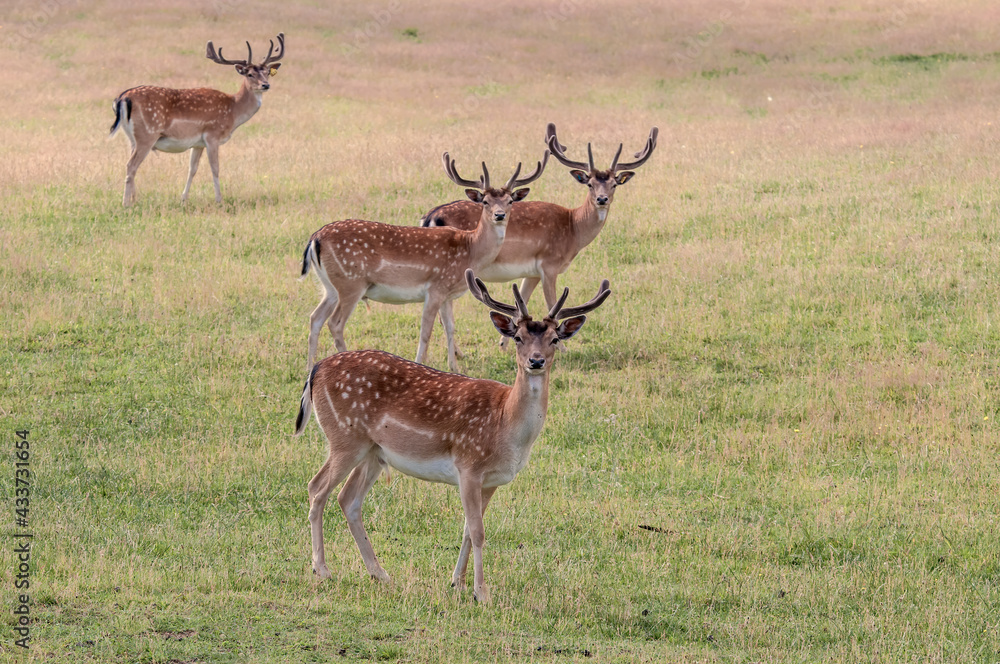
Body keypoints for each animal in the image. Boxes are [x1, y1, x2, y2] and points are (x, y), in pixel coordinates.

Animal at [108, 33, 285, 206]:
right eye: (250, 74)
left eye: (267, 72)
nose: (265, 85)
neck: (233, 111)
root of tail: (123, 97)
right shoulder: (212, 135)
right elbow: (215, 168)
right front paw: (219, 200)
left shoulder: (198, 143)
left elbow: (192, 169)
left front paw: (183, 199)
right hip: (147, 134)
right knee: (131, 165)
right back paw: (126, 204)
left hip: (132, 138)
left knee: (132, 164)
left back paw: (134, 200)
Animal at [294, 268, 612, 603]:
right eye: (518, 338)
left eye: (554, 339)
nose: (535, 360)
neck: (505, 426)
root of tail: (316, 370)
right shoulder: (469, 465)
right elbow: (478, 531)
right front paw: (481, 593)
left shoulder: (491, 481)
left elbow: (468, 529)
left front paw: (457, 582)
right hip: (345, 437)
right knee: (317, 487)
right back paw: (322, 568)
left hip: (374, 453)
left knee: (348, 499)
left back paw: (379, 573)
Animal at [300, 153, 548, 374]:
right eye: (485, 201)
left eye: (510, 201)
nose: (499, 215)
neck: (470, 250)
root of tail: (314, 239)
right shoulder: (436, 287)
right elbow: (426, 331)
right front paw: (421, 364)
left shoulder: (448, 293)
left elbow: (450, 327)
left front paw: (455, 367)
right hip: (351, 284)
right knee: (335, 323)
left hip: (330, 287)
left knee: (315, 318)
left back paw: (309, 367)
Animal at [421, 123, 656, 346]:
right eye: (590, 183)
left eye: (614, 184)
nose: (602, 199)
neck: (573, 227)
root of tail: (430, 216)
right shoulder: (549, 265)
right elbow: (552, 304)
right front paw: (561, 347)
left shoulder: (531, 272)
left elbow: (521, 302)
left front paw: (505, 344)